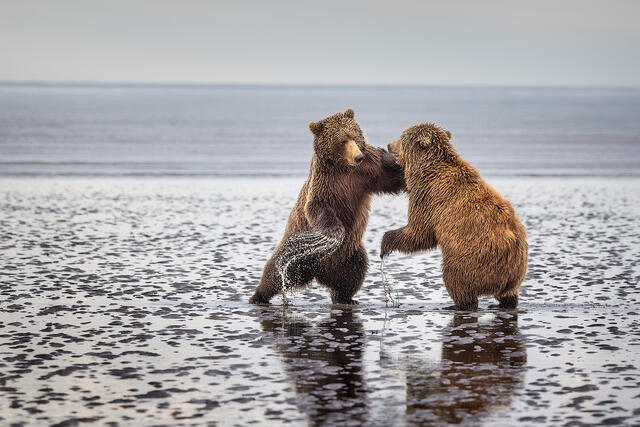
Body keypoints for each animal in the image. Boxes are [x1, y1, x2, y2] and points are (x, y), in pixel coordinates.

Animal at [249, 108, 405, 305]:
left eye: (354, 136)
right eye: (342, 141)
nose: (358, 156)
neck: (345, 167)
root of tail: (321, 272)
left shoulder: (368, 172)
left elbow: (392, 178)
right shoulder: (325, 181)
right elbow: (317, 206)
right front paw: (336, 231)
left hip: (349, 253)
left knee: (353, 274)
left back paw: (345, 298)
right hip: (297, 250)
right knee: (275, 271)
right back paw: (258, 296)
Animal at [381, 122, 528, 310]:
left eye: (401, 137)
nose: (388, 145)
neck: (428, 168)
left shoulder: (429, 197)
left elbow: (420, 233)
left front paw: (385, 242)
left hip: (473, 259)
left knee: (455, 280)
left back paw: (459, 304)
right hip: (516, 274)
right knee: (509, 295)